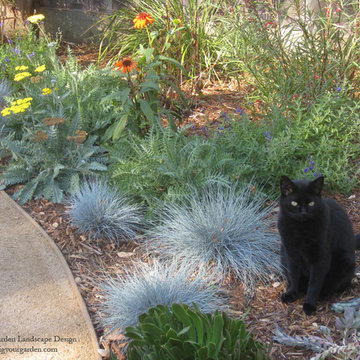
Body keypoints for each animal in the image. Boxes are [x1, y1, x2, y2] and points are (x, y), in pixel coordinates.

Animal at [278, 176, 360, 314]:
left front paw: (309, 304)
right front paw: (291, 293)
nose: (303, 212)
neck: (301, 229)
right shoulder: (291, 254)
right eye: (294, 203)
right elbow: (294, 275)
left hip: (345, 264)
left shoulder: (320, 257)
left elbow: (315, 283)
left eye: (311, 203)